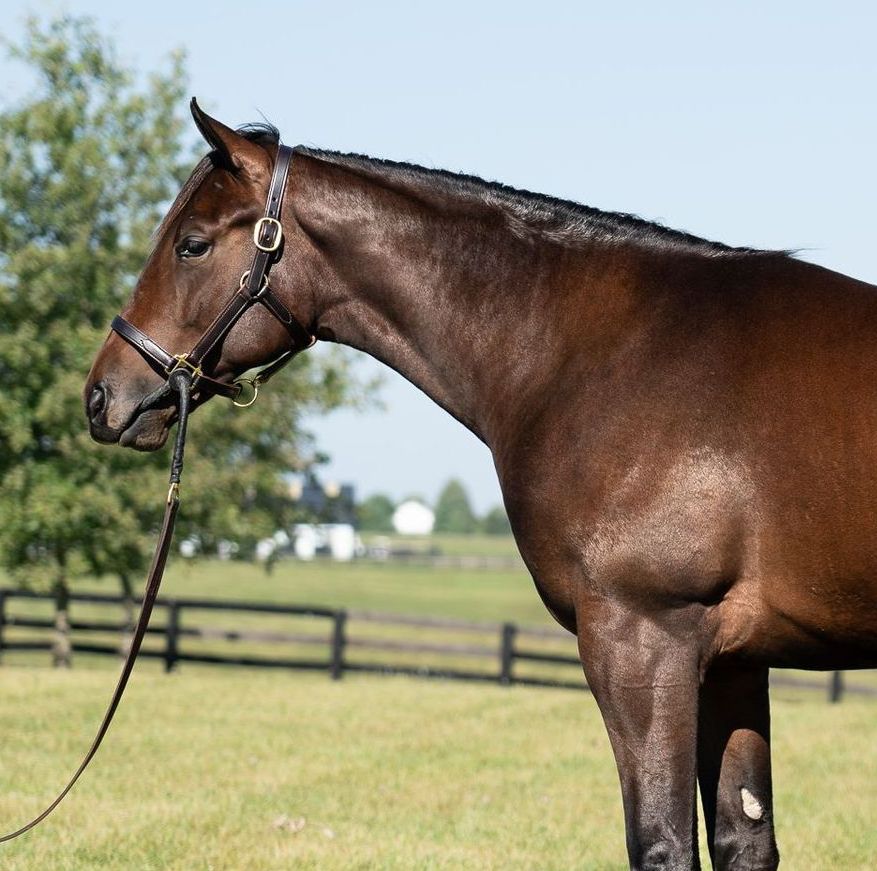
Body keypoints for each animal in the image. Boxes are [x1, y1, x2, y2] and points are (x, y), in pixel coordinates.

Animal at [84, 99, 877, 870]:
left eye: (191, 244)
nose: (101, 397)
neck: (599, 353)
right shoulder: (735, 662)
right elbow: (744, 838)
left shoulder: (645, 640)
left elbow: (661, 843)